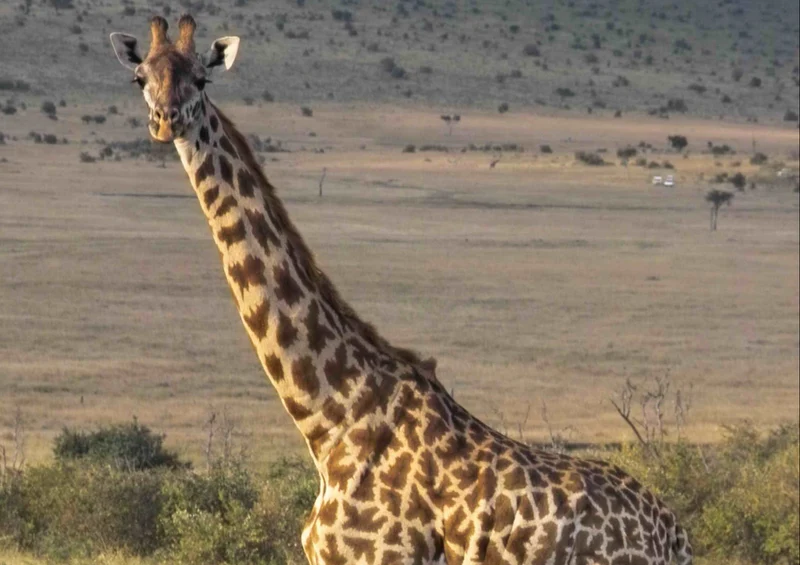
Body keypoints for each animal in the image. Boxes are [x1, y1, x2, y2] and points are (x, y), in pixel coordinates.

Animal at [109, 15, 693, 565]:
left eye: (202, 77)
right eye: (141, 76)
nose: (166, 120)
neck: (330, 418)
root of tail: (674, 533)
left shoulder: (380, 556)